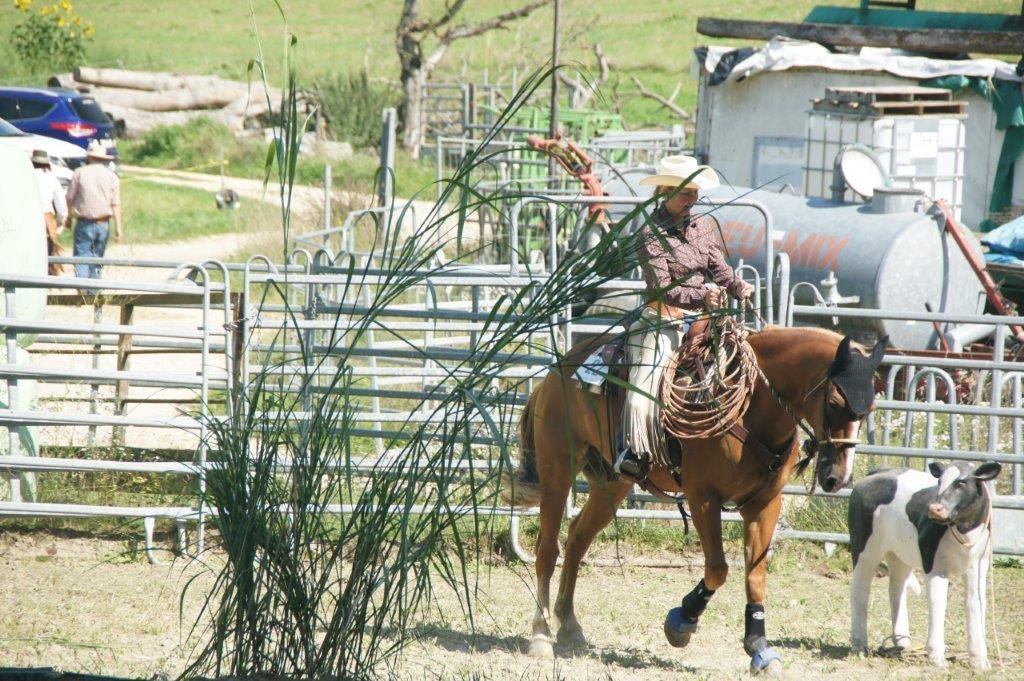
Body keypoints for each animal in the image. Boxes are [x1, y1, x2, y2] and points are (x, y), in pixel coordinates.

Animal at [504, 325, 886, 674]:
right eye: (834, 403)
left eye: (869, 408)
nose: (838, 478)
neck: (751, 409)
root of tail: (556, 372)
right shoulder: (703, 497)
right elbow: (717, 568)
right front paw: (682, 620)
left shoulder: (765, 504)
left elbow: (755, 576)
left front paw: (759, 647)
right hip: (557, 471)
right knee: (547, 550)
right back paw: (541, 635)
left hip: (612, 486)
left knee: (577, 539)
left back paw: (570, 627)